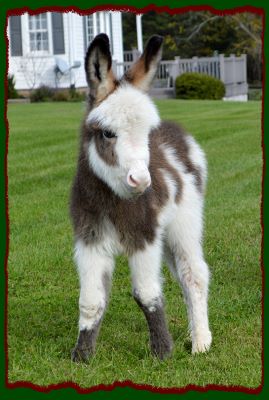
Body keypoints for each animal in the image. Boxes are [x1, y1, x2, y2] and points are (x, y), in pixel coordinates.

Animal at [69, 32, 211, 360]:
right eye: (107, 133)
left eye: (147, 133)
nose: (142, 181)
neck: (112, 203)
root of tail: (179, 132)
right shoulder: (89, 240)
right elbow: (90, 300)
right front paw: (82, 356)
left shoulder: (144, 237)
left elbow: (147, 294)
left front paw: (162, 352)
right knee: (182, 275)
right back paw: (194, 335)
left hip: (184, 223)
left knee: (193, 274)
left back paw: (200, 341)